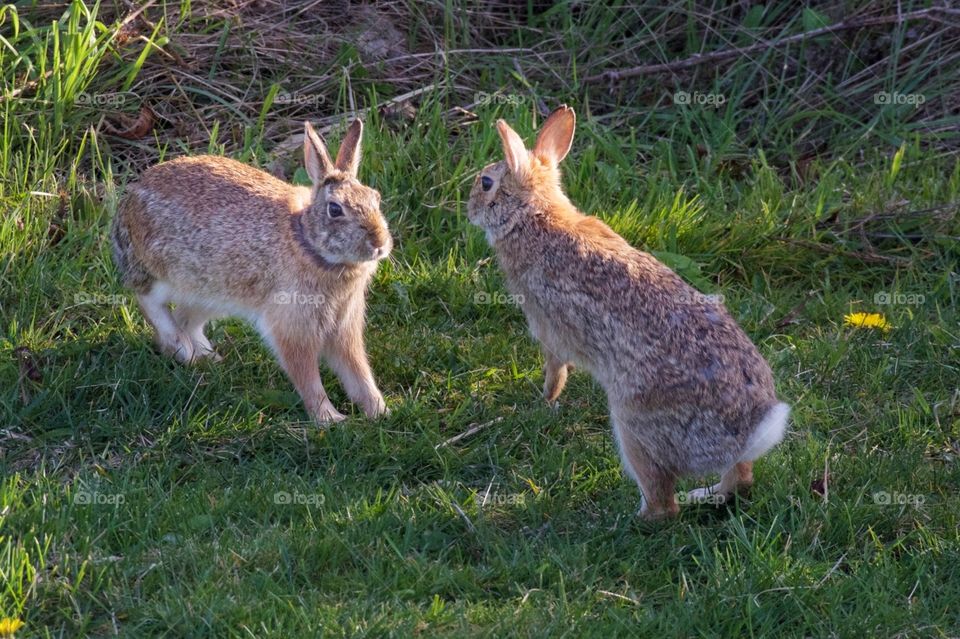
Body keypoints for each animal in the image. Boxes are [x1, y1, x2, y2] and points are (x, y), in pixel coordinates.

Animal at [113, 120, 394, 424]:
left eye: (376, 198)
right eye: (335, 209)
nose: (379, 242)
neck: (308, 243)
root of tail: (126, 207)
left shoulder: (345, 327)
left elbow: (357, 371)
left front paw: (380, 410)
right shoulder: (292, 324)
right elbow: (306, 374)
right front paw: (329, 418)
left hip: (213, 293)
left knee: (186, 319)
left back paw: (206, 357)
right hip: (161, 274)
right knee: (149, 302)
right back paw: (182, 348)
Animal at [464, 107, 788, 520]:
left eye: (487, 182)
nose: (470, 209)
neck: (535, 216)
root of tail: (744, 433)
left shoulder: (547, 328)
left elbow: (556, 367)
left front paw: (546, 399)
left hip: (633, 422)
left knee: (663, 503)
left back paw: (623, 519)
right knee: (739, 481)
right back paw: (704, 493)